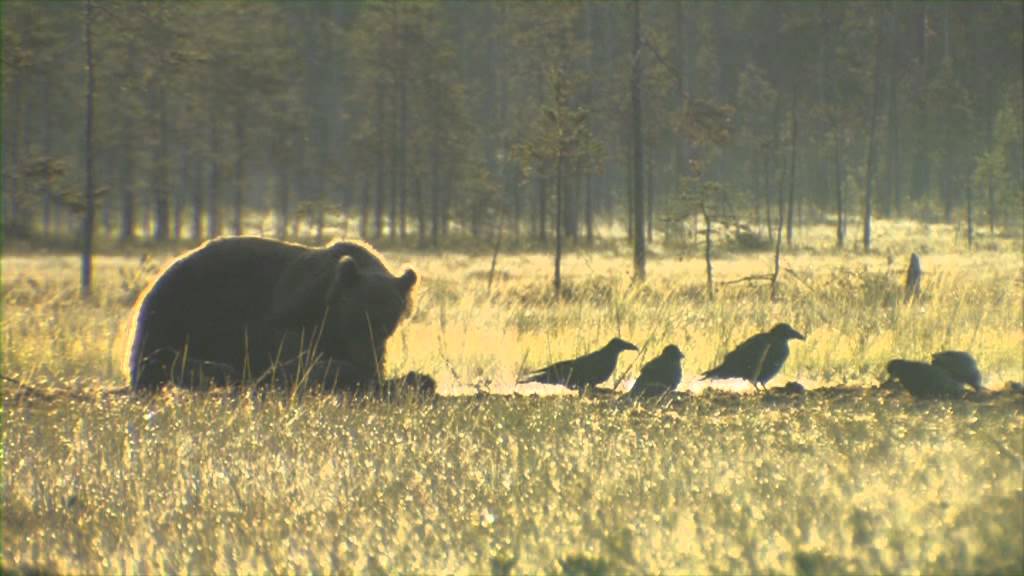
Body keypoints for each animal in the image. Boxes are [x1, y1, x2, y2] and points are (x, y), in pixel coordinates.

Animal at [126, 236, 432, 396]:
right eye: (358, 320)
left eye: (386, 325)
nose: (368, 362)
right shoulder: (283, 316)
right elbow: (292, 360)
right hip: (180, 312)